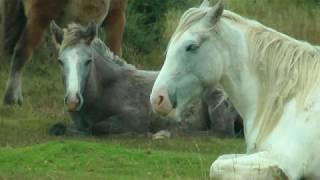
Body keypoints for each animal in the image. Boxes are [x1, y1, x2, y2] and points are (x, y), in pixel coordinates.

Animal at [48, 21, 242, 136]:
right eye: (60, 61)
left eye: (88, 61)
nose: (72, 100)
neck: (106, 89)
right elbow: (59, 128)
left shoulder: (136, 118)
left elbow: (97, 127)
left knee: (218, 133)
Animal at [150, 0, 320, 179]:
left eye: (191, 46)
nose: (157, 99)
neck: (289, 101)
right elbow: (221, 160)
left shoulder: (283, 159)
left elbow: (215, 166)